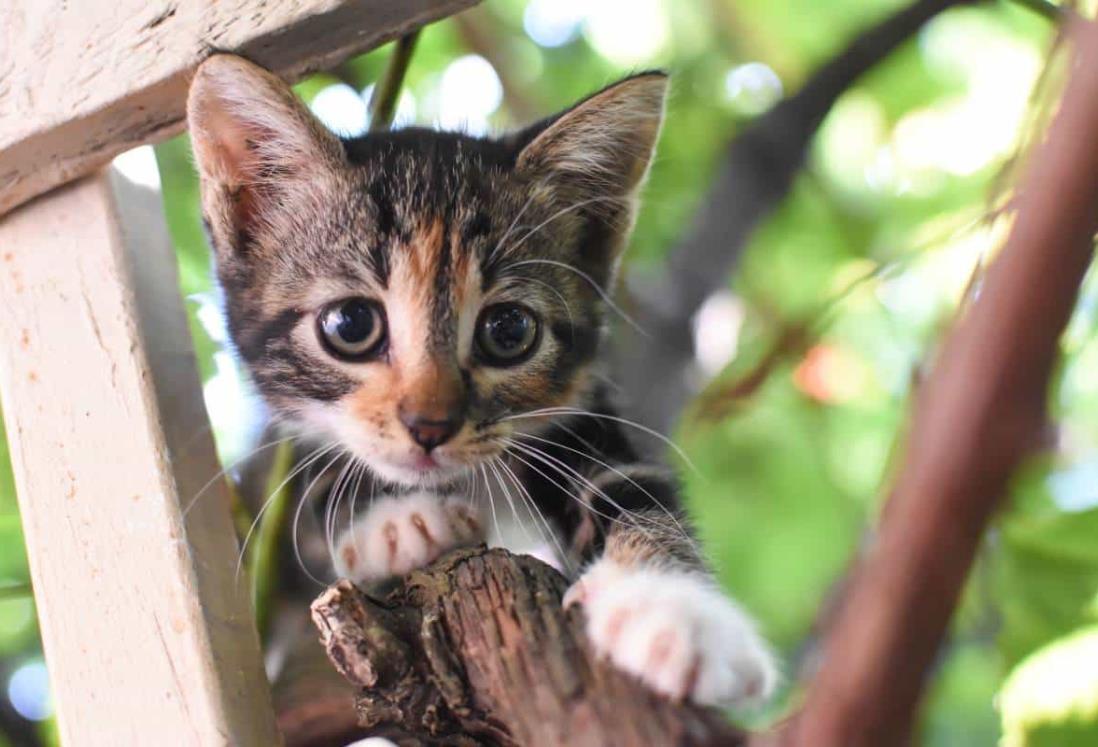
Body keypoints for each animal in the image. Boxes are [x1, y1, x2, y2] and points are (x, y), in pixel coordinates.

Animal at [188, 54, 777, 707]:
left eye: (508, 329)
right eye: (350, 325)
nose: (429, 427)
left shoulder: (582, 419)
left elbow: (637, 496)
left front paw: (675, 611)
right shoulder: (277, 454)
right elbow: (304, 485)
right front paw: (396, 521)